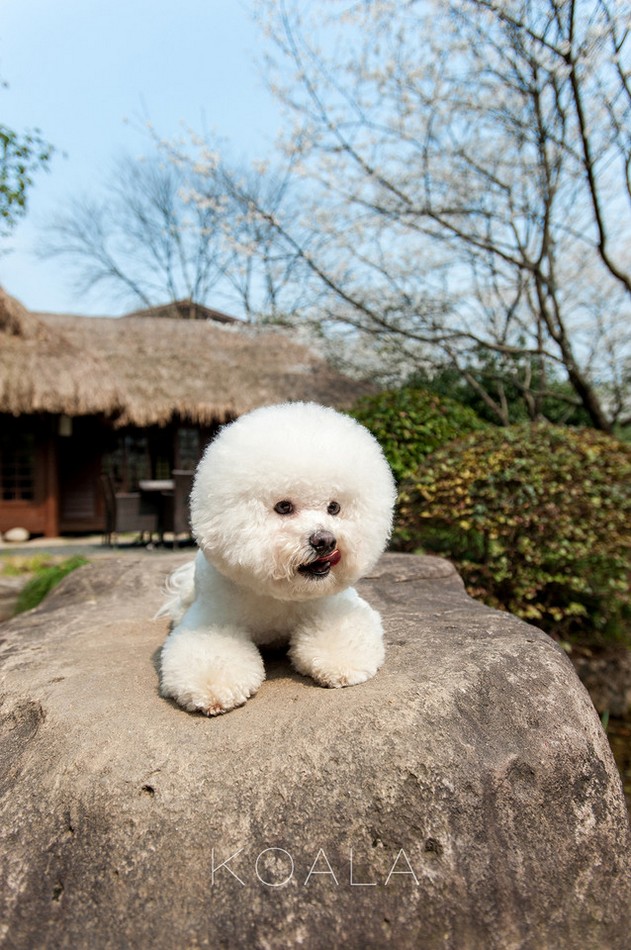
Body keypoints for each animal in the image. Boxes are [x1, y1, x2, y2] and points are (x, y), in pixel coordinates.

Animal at [157, 398, 396, 716]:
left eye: (334, 507)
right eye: (284, 507)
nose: (325, 541)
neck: (280, 594)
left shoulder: (332, 604)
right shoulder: (214, 616)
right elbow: (211, 647)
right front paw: (212, 687)